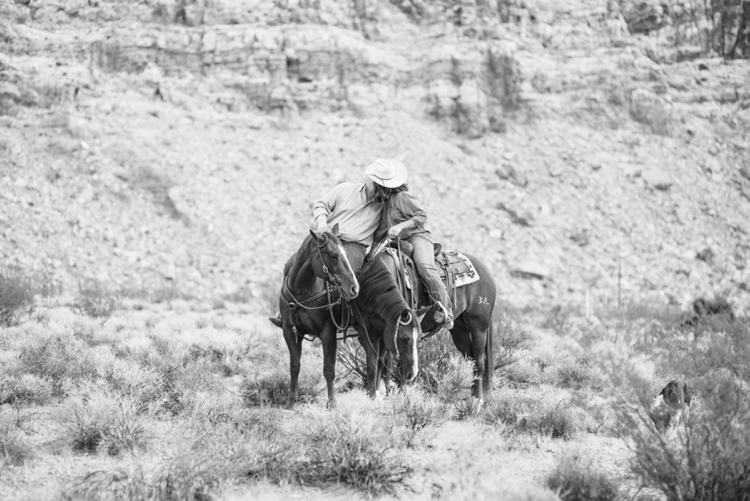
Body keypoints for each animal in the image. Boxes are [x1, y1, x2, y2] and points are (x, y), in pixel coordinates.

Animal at [274, 225, 362, 408]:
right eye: (333, 256)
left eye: (346, 254)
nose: (354, 288)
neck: (302, 291)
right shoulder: (289, 331)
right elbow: (294, 366)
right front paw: (291, 402)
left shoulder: (328, 333)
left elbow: (329, 369)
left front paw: (332, 404)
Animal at [356, 247, 432, 398]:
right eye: (404, 338)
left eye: (419, 339)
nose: (412, 374)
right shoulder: (368, 333)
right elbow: (372, 365)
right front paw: (371, 395)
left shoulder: (385, 334)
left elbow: (380, 362)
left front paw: (377, 393)